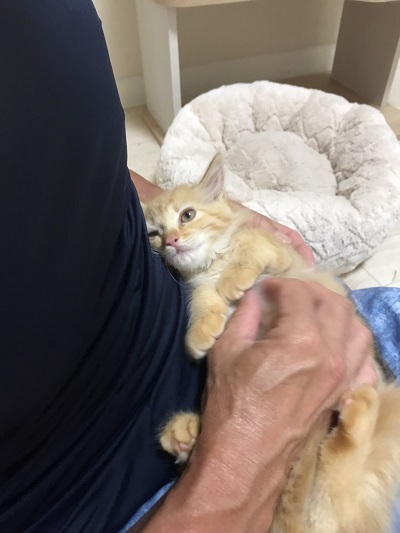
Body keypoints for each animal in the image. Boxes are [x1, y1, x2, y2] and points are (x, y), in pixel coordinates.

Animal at [142, 155, 400, 532]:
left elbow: (253, 247)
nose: (172, 241)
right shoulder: (200, 284)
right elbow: (202, 298)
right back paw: (185, 433)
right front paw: (201, 330)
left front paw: (233, 279)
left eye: (187, 215)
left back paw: (360, 407)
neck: (215, 262)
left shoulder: (283, 258)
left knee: (339, 497)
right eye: (154, 234)